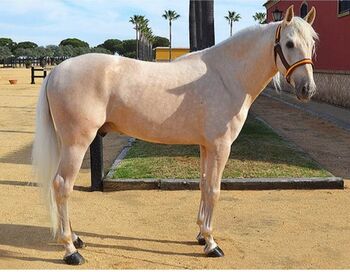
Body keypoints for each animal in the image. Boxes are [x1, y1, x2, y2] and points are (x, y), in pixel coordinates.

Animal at [32, 6, 318, 264]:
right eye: (289, 43)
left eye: (312, 44)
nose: (308, 89)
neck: (226, 76)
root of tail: (57, 71)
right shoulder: (221, 146)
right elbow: (214, 189)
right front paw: (212, 244)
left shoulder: (206, 146)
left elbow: (203, 185)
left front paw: (201, 235)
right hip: (77, 143)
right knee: (62, 185)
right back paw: (71, 250)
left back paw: (76, 238)